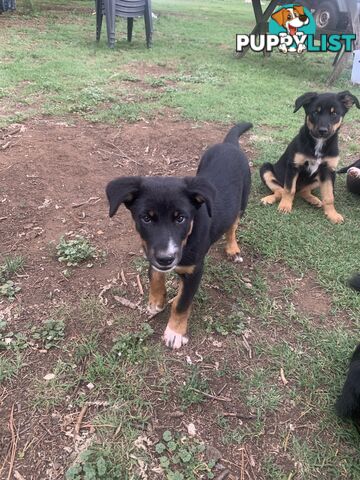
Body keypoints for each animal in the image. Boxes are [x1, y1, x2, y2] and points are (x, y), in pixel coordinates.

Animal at [107, 124, 252, 348]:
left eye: (181, 218)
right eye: (146, 218)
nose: (166, 259)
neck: (188, 235)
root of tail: (230, 145)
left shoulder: (195, 270)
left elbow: (182, 303)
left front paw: (175, 332)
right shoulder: (152, 251)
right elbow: (155, 275)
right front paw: (156, 301)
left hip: (242, 202)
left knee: (232, 226)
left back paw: (232, 248)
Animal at [260, 91, 358, 224]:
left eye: (334, 113)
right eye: (315, 112)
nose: (323, 131)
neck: (318, 144)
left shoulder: (328, 171)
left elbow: (329, 196)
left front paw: (332, 214)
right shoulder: (293, 166)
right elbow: (288, 190)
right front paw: (285, 206)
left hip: (317, 178)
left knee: (303, 191)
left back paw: (313, 200)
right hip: (265, 168)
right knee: (280, 190)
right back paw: (269, 199)